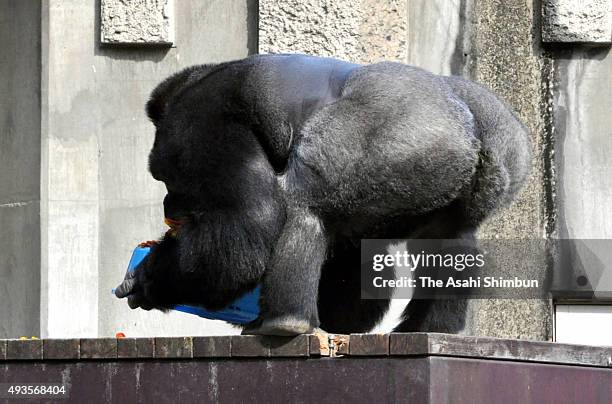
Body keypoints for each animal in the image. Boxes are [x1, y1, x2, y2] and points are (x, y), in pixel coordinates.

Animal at [116, 54, 532, 338]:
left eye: (165, 178)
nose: (168, 205)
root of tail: (468, 124)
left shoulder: (199, 118)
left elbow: (245, 230)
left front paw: (149, 278)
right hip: (500, 149)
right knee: (450, 239)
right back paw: (434, 329)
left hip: (403, 132)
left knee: (302, 207)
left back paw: (284, 321)